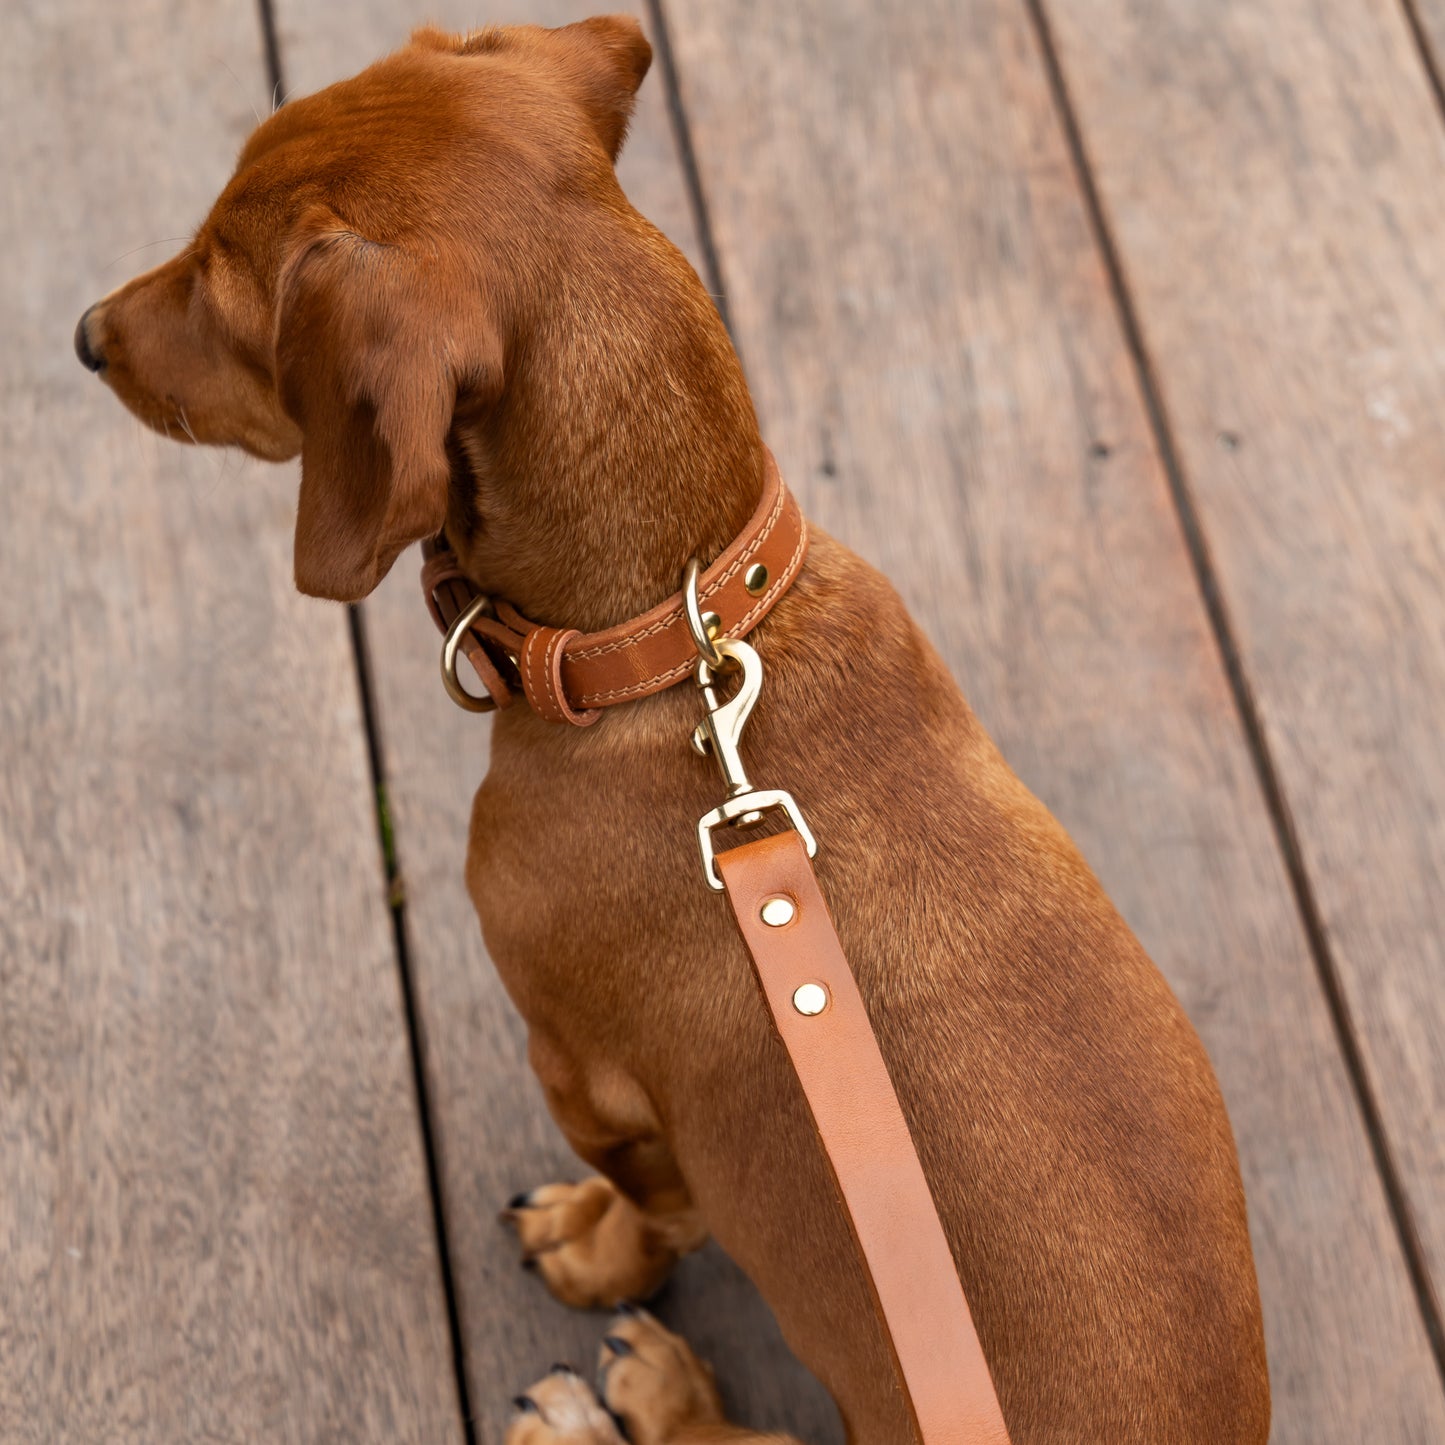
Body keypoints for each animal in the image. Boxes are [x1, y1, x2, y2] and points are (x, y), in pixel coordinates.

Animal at [79, 14, 1271, 1445]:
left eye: (222, 290)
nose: (82, 335)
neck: (673, 646)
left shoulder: (583, 1070)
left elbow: (656, 1212)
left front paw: (594, 1250)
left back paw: (634, 1400)